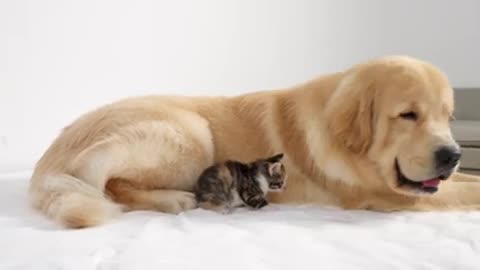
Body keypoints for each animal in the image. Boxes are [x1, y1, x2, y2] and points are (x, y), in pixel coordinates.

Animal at [28, 55, 480, 228]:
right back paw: (172, 199)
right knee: (112, 185)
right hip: (190, 131)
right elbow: (469, 193)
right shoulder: (388, 196)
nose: (453, 155)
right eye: (408, 115)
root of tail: (53, 152)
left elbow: (470, 182)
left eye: (447, 117)